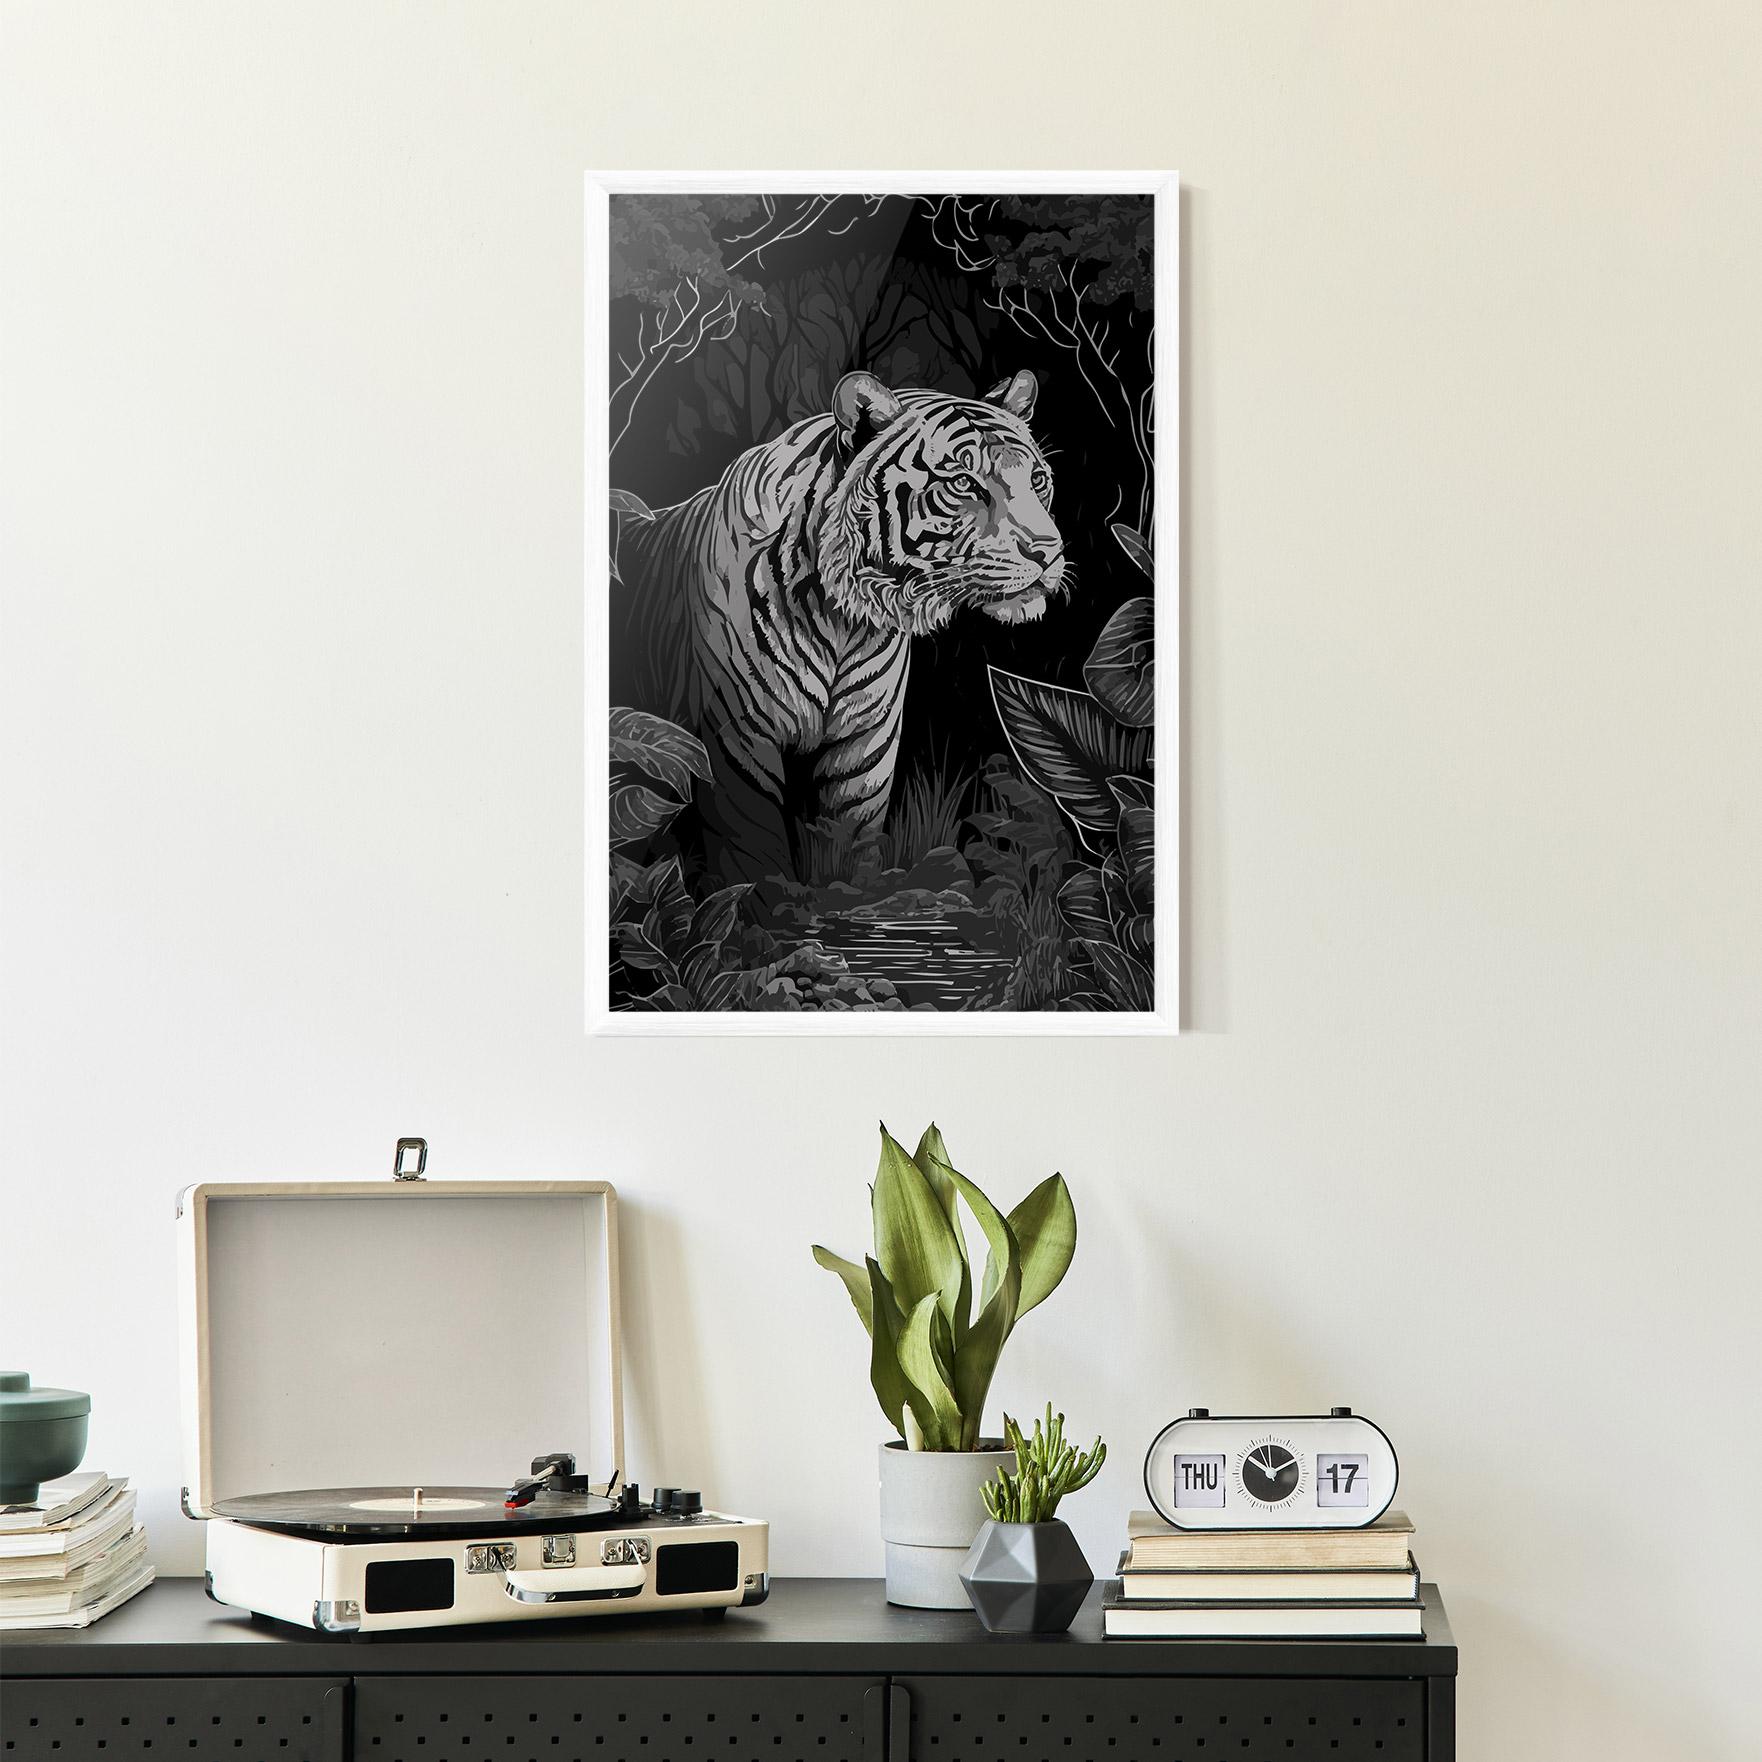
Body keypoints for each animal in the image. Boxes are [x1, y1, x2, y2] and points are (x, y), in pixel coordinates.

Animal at [611, 368, 1066, 885]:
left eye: (1036, 480)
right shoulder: (736, 742)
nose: (1048, 550)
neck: (843, 622)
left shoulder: (865, 746)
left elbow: (850, 849)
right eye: (965, 483)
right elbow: (754, 859)